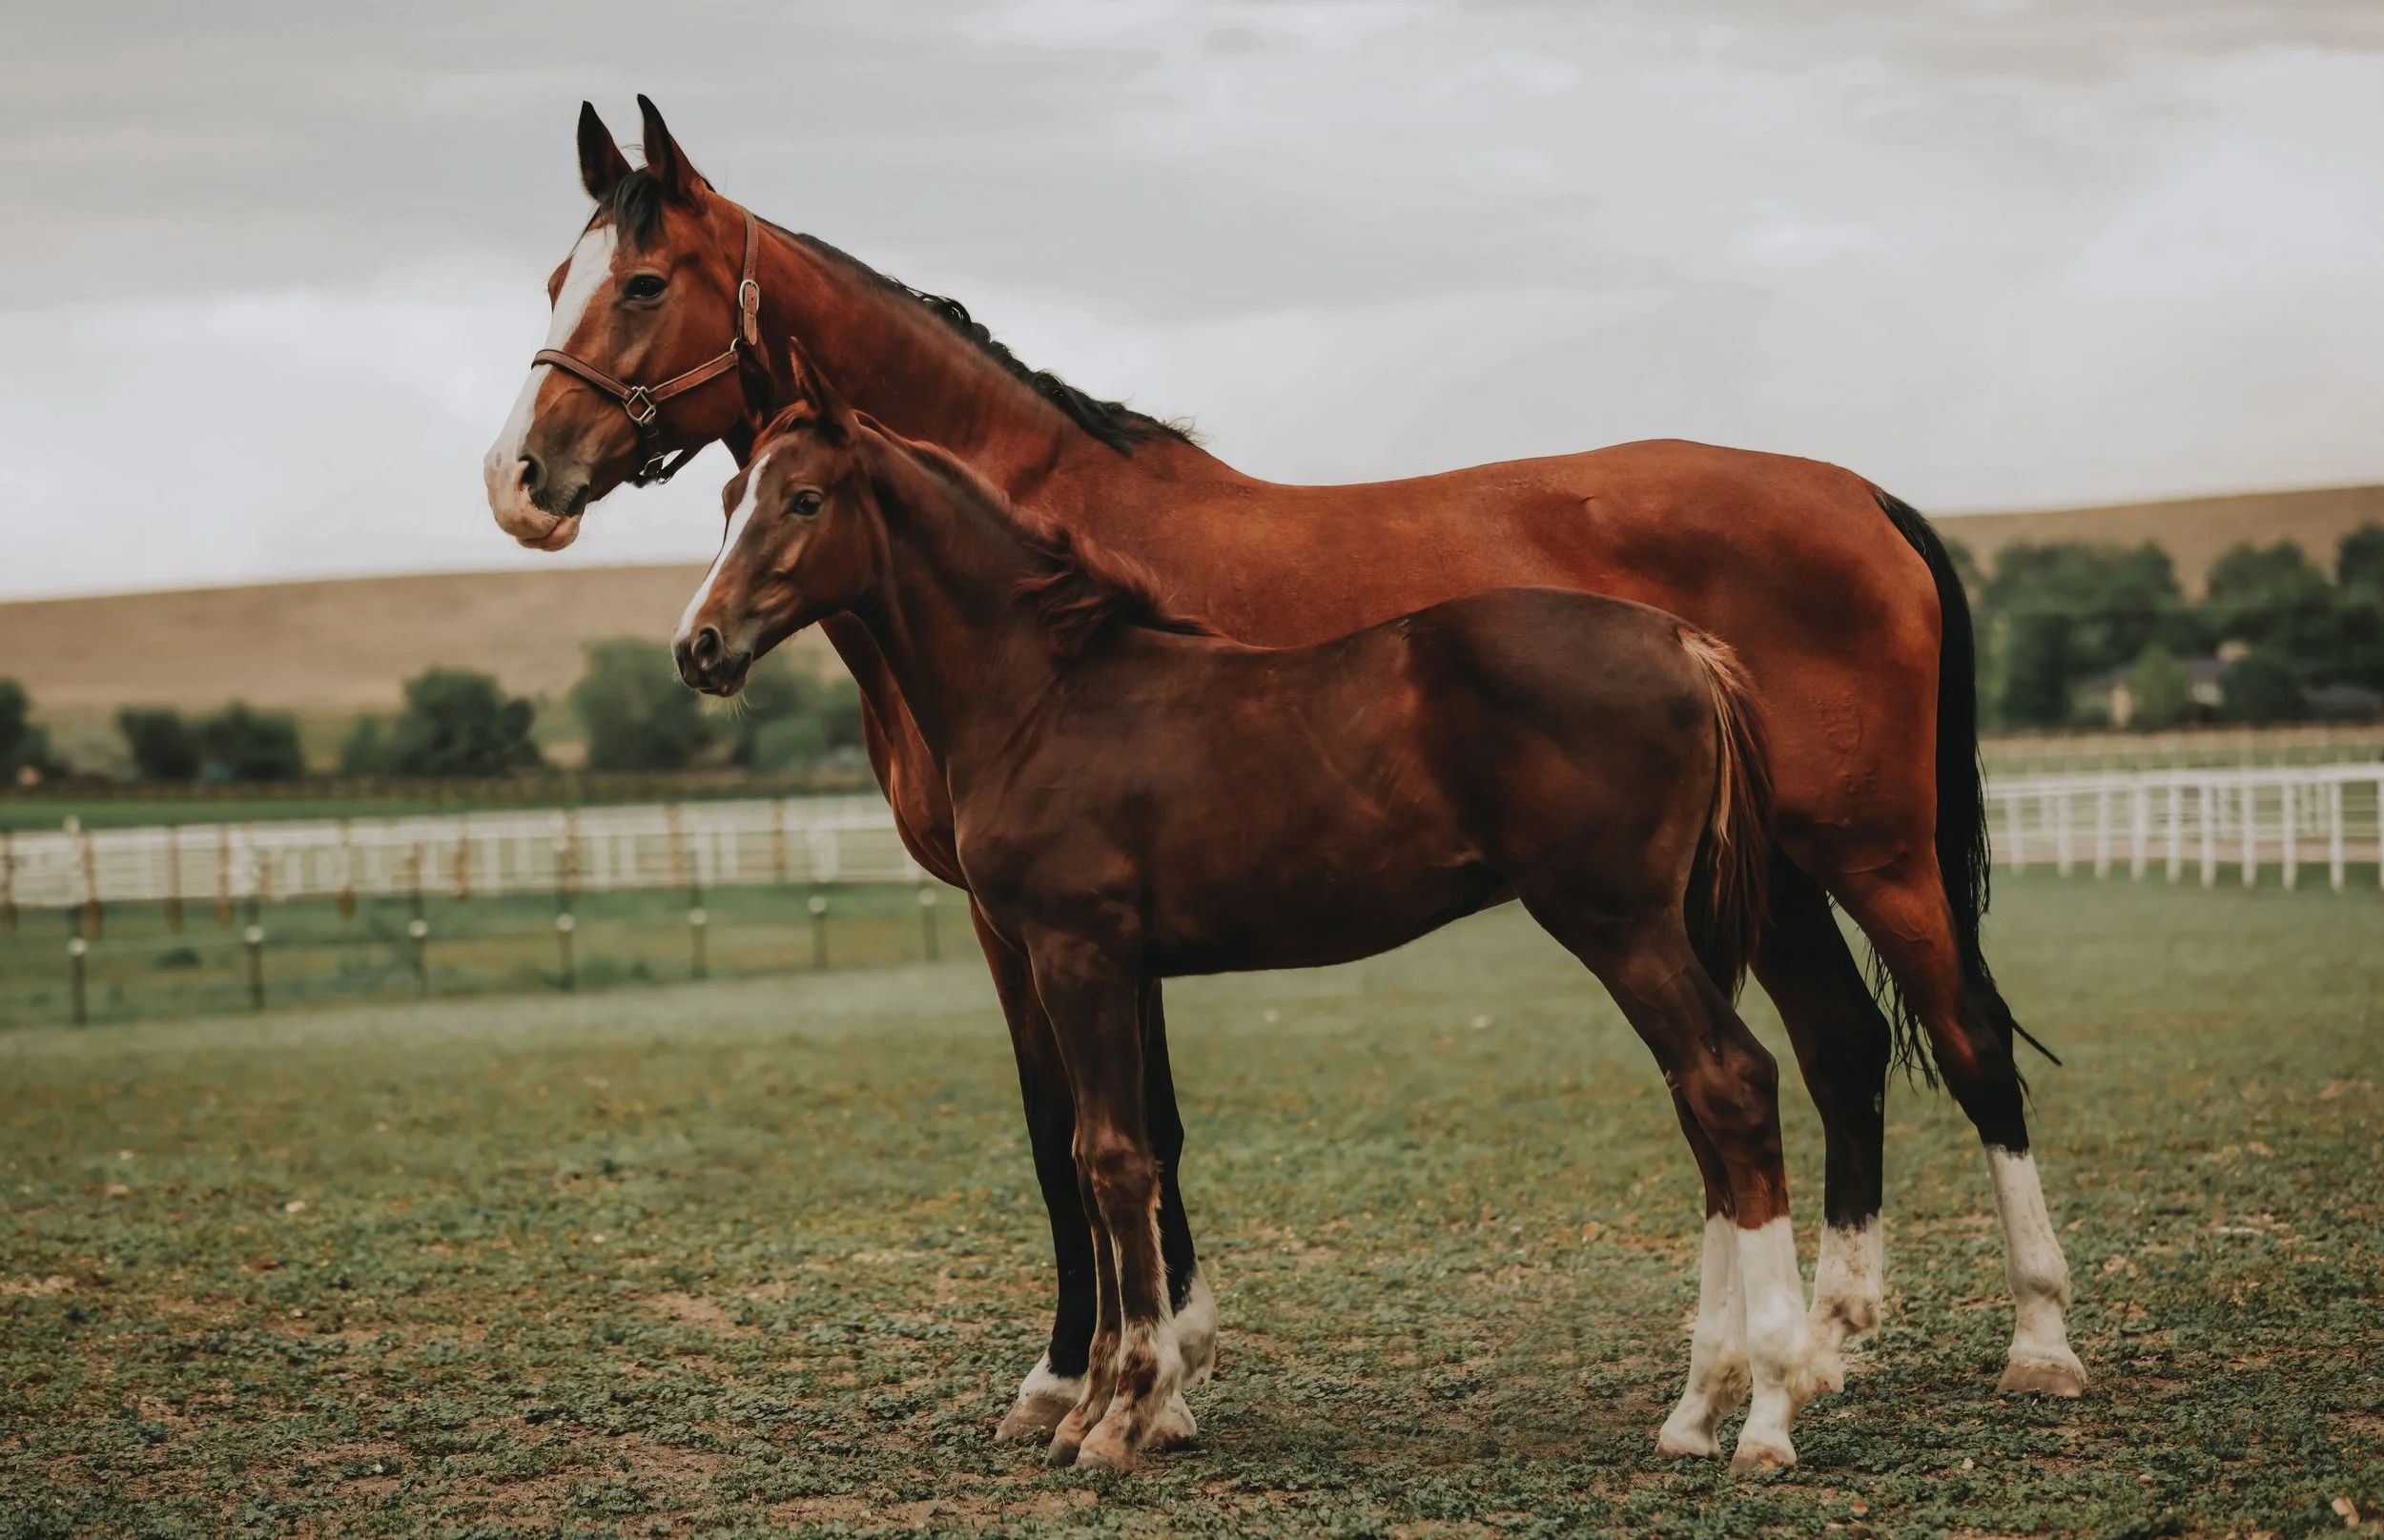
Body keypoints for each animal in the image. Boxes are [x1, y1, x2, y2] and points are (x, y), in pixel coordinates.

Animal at [671, 352, 1817, 1473]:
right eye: (729, 496)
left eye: (806, 499)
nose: (699, 646)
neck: (1043, 696)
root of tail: (1686, 644)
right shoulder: (1116, 965)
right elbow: (1111, 1153)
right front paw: (1097, 1403)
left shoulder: (1075, 954)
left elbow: (1108, 1159)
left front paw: (1120, 1415)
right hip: (1660, 929)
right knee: (1703, 1112)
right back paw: (1696, 1409)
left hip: (1616, 922)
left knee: (1731, 1084)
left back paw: (1766, 1415)